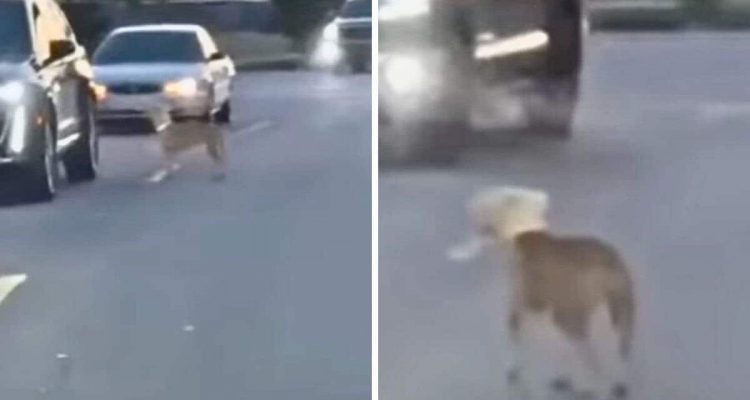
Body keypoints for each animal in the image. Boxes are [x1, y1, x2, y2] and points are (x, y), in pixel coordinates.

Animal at [450, 188, 636, 400]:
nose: (460, 247)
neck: (520, 233)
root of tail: (606, 265)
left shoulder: (521, 304)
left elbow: (515, 338)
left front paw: (514, 370)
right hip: (622, 307)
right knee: (621, 350)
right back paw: (614, 383)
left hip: (570, 316)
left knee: (593, 362)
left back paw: (591, 387)